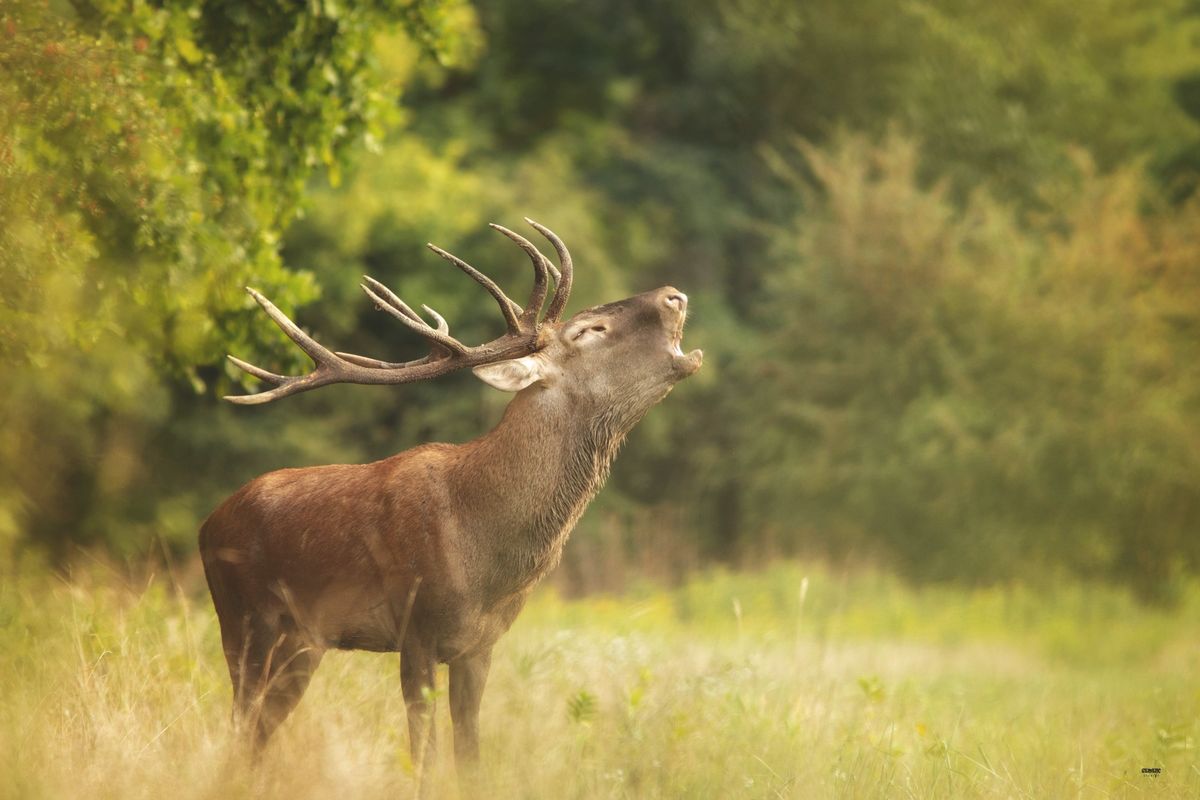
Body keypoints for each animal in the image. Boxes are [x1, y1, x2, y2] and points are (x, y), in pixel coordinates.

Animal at [198, 219, 700, 777]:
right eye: (589, 330)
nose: (674, 294)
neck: (484, 553)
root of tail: (209, 522)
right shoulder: (415, 628)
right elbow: (424, 754)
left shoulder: (479, 647)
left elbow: (469, 754)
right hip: (241, 617)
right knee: (241, 722)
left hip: (304, 641)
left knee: (258, 730)